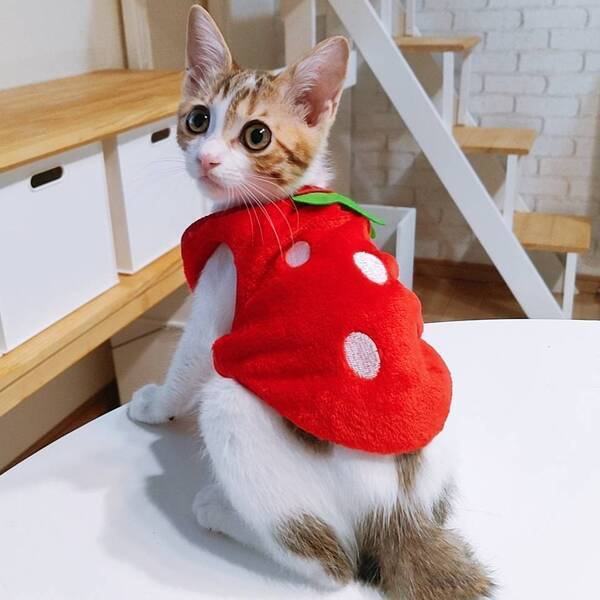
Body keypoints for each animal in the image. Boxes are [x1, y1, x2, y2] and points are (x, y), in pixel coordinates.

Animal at [128, 6, 493, 599]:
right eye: (198, 120)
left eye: (256, 135)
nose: (206, 160)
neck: (284, 198)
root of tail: (402, 518)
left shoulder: (220, 292)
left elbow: (188, 361)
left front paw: (156, 405)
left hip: (230, 407)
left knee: (332, 566)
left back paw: (221, 512)